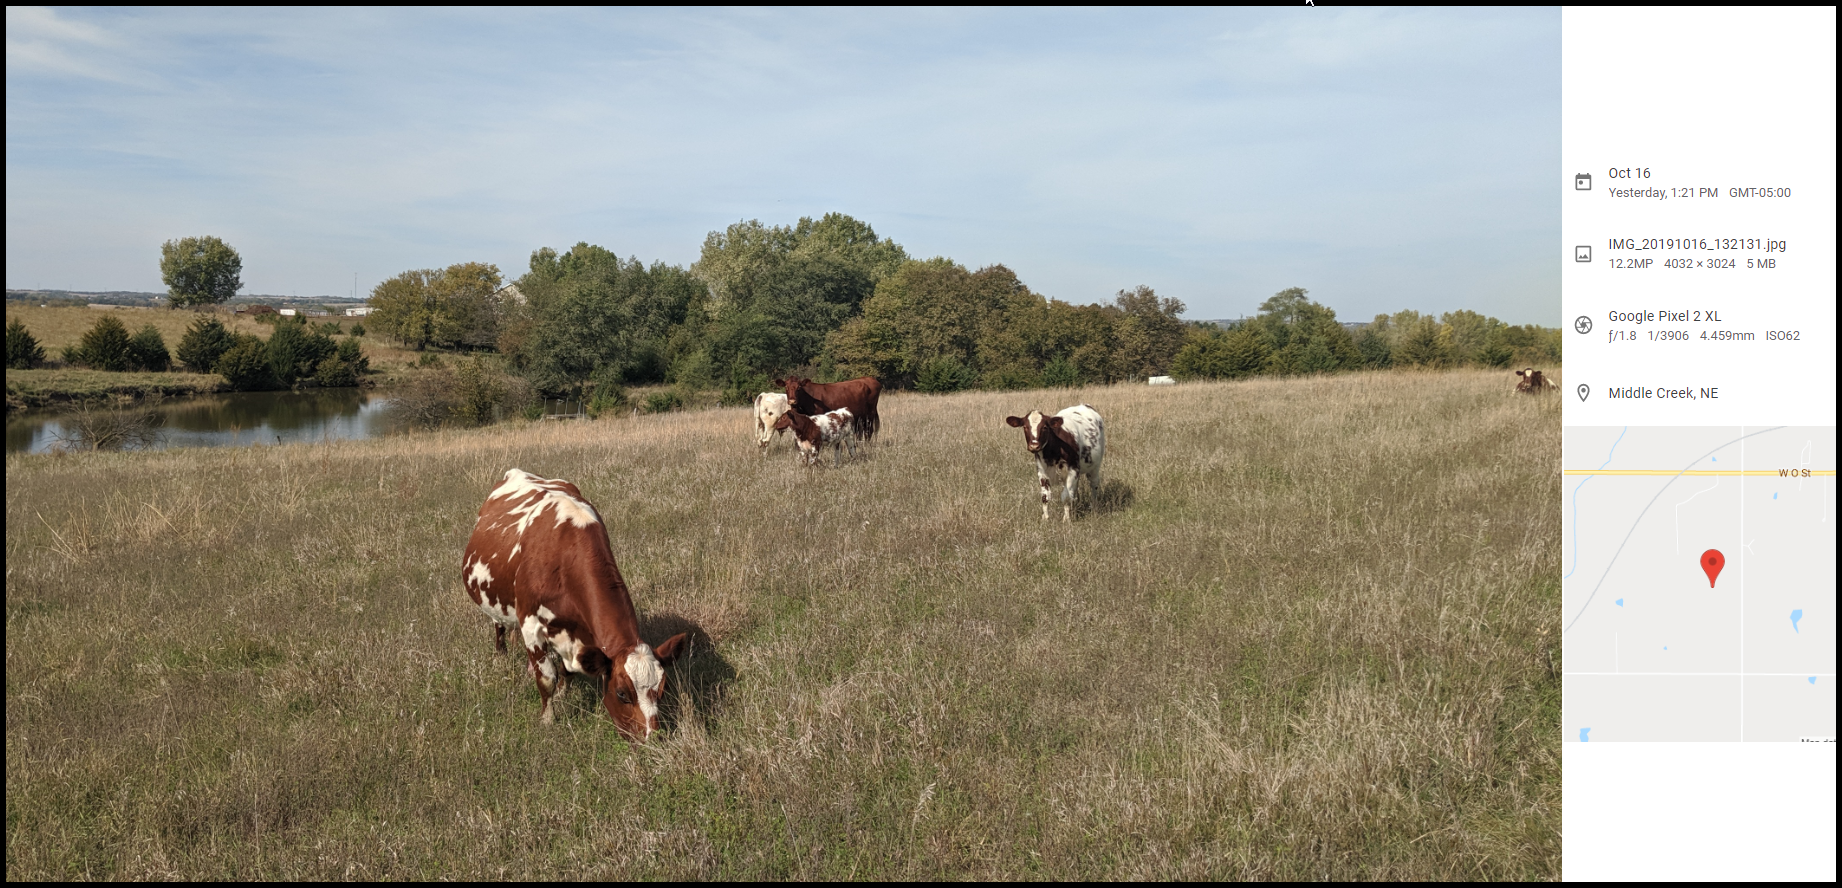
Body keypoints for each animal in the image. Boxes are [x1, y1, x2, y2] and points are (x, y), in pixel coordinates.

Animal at [460, 467, 692, 740]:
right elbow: (547, 678)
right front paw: (548, 719)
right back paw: (501, 655)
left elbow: (567, 671)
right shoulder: (531, 624)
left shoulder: (575, 636)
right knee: (499, 626)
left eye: (662, 690)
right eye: (622, 694)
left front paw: (563, 695)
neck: (564, 562)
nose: (651, 737)